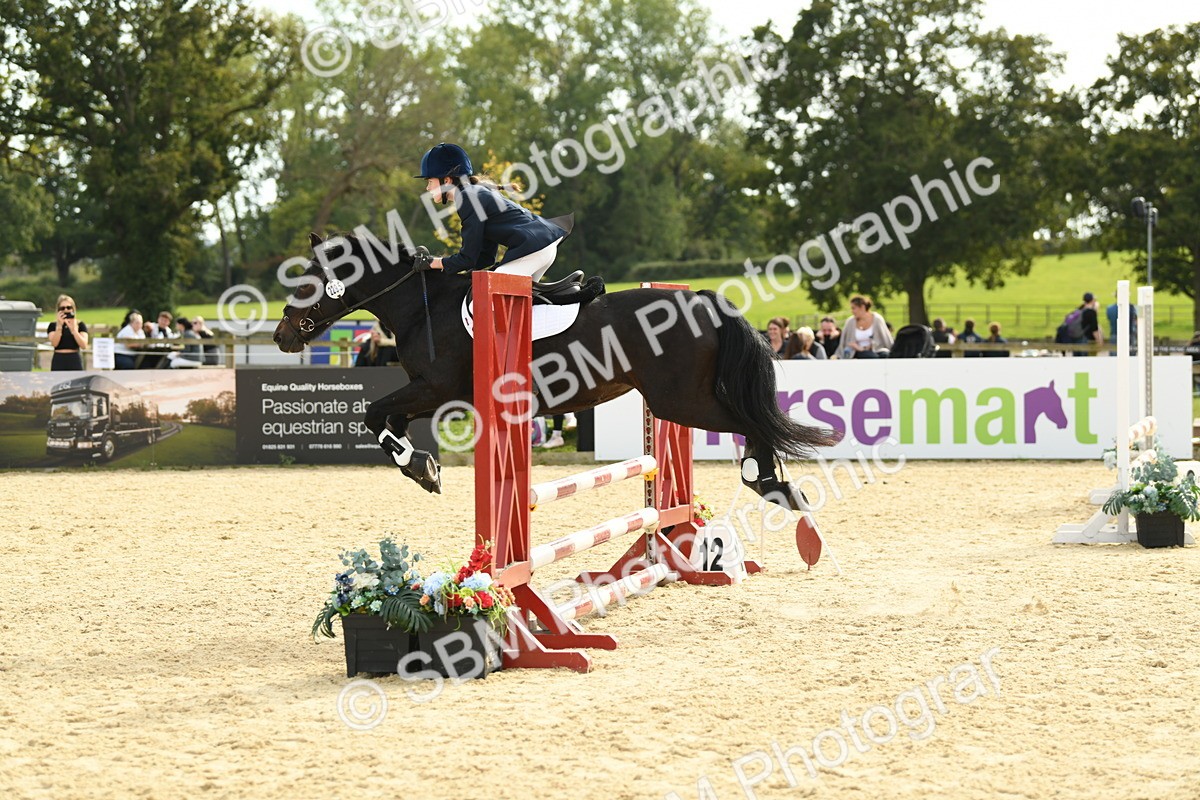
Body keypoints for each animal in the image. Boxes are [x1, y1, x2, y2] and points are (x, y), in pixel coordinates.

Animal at [272, 233, 842, 513]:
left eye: (308, 282)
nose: (282, 336)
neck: (422, 306)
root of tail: (700, 299)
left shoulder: (436, 387)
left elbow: (374, 414)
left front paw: (420, 468)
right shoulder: (436, 393)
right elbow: (386, 421)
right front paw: (423, 466)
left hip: (679, 400)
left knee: (750, 422)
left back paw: (768, 483)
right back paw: (774, 486)